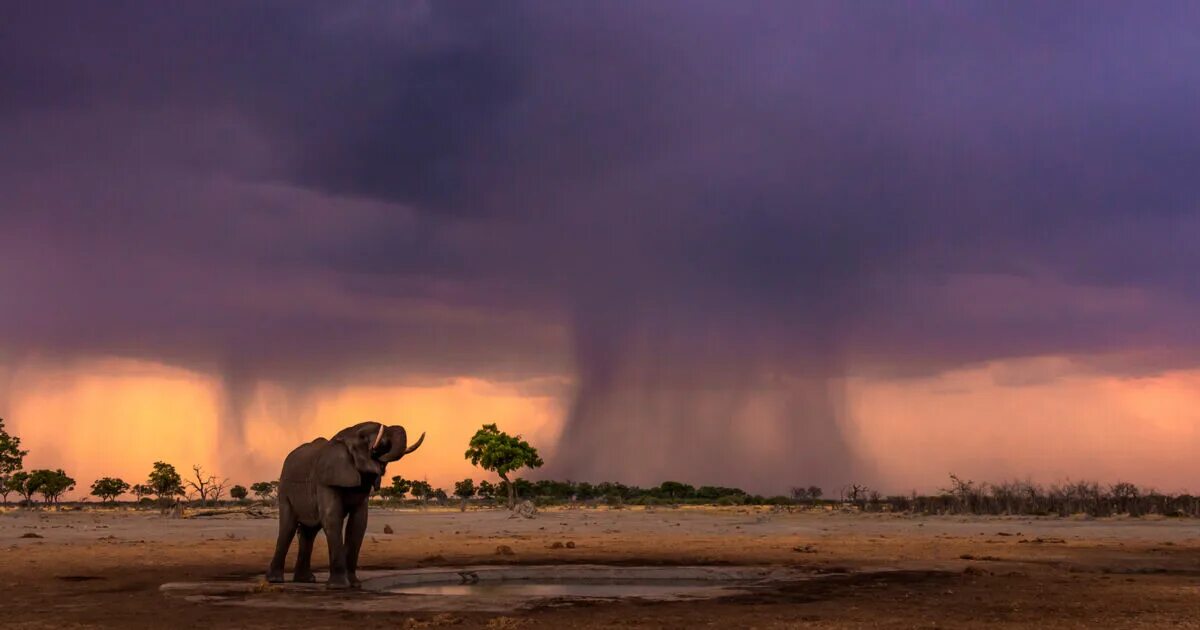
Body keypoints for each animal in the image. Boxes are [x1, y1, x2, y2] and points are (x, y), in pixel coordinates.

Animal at [267, 420, 427, 588]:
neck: (344, 436)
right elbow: (332, 517)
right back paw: (275, 580)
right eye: (364, 437)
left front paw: (355, 584)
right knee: (288, 527)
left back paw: (305, 580)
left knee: (309, 532)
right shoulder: (325, 479)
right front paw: (339, 586)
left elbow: (358, 523)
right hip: (284, 490)